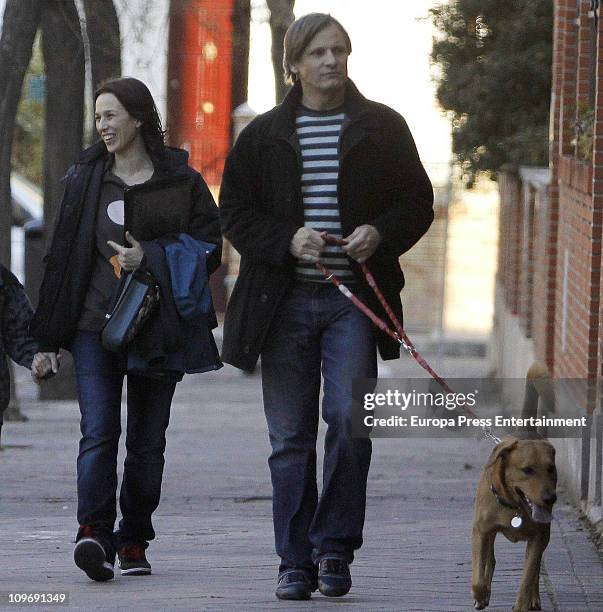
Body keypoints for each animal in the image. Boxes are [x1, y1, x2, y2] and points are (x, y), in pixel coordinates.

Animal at [472, 438, 556, 608]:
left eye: (551, 468)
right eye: (527, 470)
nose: (550, 498)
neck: (514, 506)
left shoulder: (539, 537)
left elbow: (528, 577)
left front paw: (522, 604)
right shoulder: (481, 531)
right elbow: (478, 575)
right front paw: (480, 595)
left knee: (536, 568)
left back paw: (534, 597)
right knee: (490, 559)